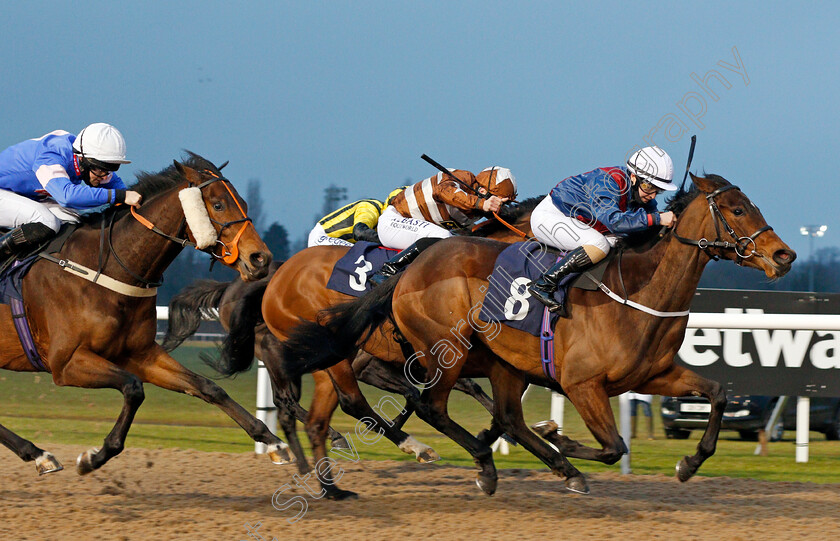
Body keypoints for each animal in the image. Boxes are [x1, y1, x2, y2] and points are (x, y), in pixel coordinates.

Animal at [0, 153, 296, 476]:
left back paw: (38, 453)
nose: (261, 259)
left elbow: (208, 387)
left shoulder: (141, 354)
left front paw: (273, 442)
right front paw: (95, 457)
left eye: (242, 202)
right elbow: (133, 388)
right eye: (218, 205)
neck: (104, 271)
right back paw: (38, 453)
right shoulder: (65, 363)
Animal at [282, 175, 796, 496]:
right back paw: (476, 461)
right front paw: (560, 437)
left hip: (497, 362)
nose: (784, 255)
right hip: (446, 348)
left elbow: (718, 393)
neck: (639, 291)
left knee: (505, 417)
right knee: (427, 405)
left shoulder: (654, 375)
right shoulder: (581, 384)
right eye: (736, 209)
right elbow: (614, 446)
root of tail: (412, 268)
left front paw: (688, 464)